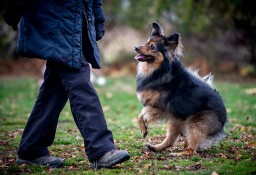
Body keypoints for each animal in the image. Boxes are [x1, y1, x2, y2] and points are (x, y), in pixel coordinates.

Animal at [134, 22, 226, 156]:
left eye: (152, 47)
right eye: (146, 42)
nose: (136, 47)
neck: (160, 70)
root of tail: (224, 116)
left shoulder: (158, 106)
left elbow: (143, 114)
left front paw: (143, 128)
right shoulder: (154, 106)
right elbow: (140, 115)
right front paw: (143, 130)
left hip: (194, 125)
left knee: (191, 150)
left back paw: (177, 154)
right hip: (176, 120)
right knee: (170, 141)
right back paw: (156, 148)